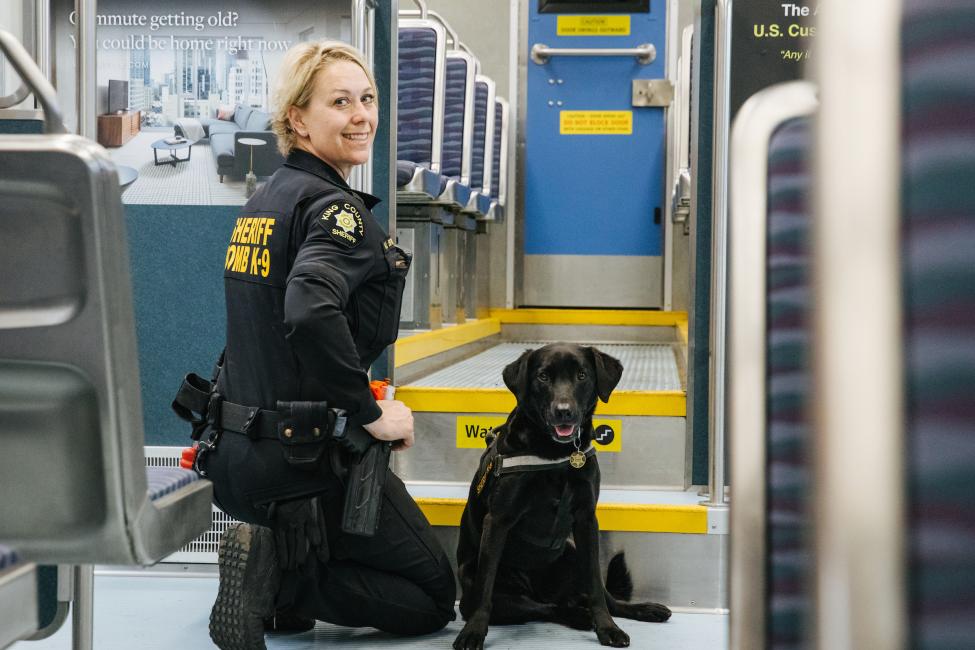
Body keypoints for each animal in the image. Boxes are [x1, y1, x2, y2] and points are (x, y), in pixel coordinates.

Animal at [456, 342, 672, 644]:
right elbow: (485, 591)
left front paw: (608, 628)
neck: (556, 454)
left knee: (597, 596)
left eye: (582, 375)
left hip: (572, 552)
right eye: (543, 376)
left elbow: (596, 589)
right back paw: (579, 616)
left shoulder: (586, 520)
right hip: (490, 584)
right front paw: (473, 632)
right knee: (541, 607)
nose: (564, 411)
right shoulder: (497, 522)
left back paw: (641, 609)